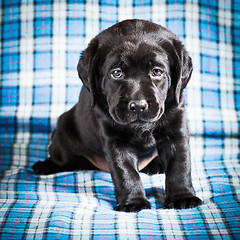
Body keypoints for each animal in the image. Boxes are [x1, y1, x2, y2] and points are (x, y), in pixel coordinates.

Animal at [33, 19, 202, 212]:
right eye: (116, 73)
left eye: (157, 72)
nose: (138, 106)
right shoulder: (115, 139)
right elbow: (126, 172)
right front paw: (133, 202)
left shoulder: (176, 129)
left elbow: (180, 165)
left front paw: (183, 196)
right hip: (64, 136)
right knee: (61, 158)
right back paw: (44, 165)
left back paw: (155, 165)